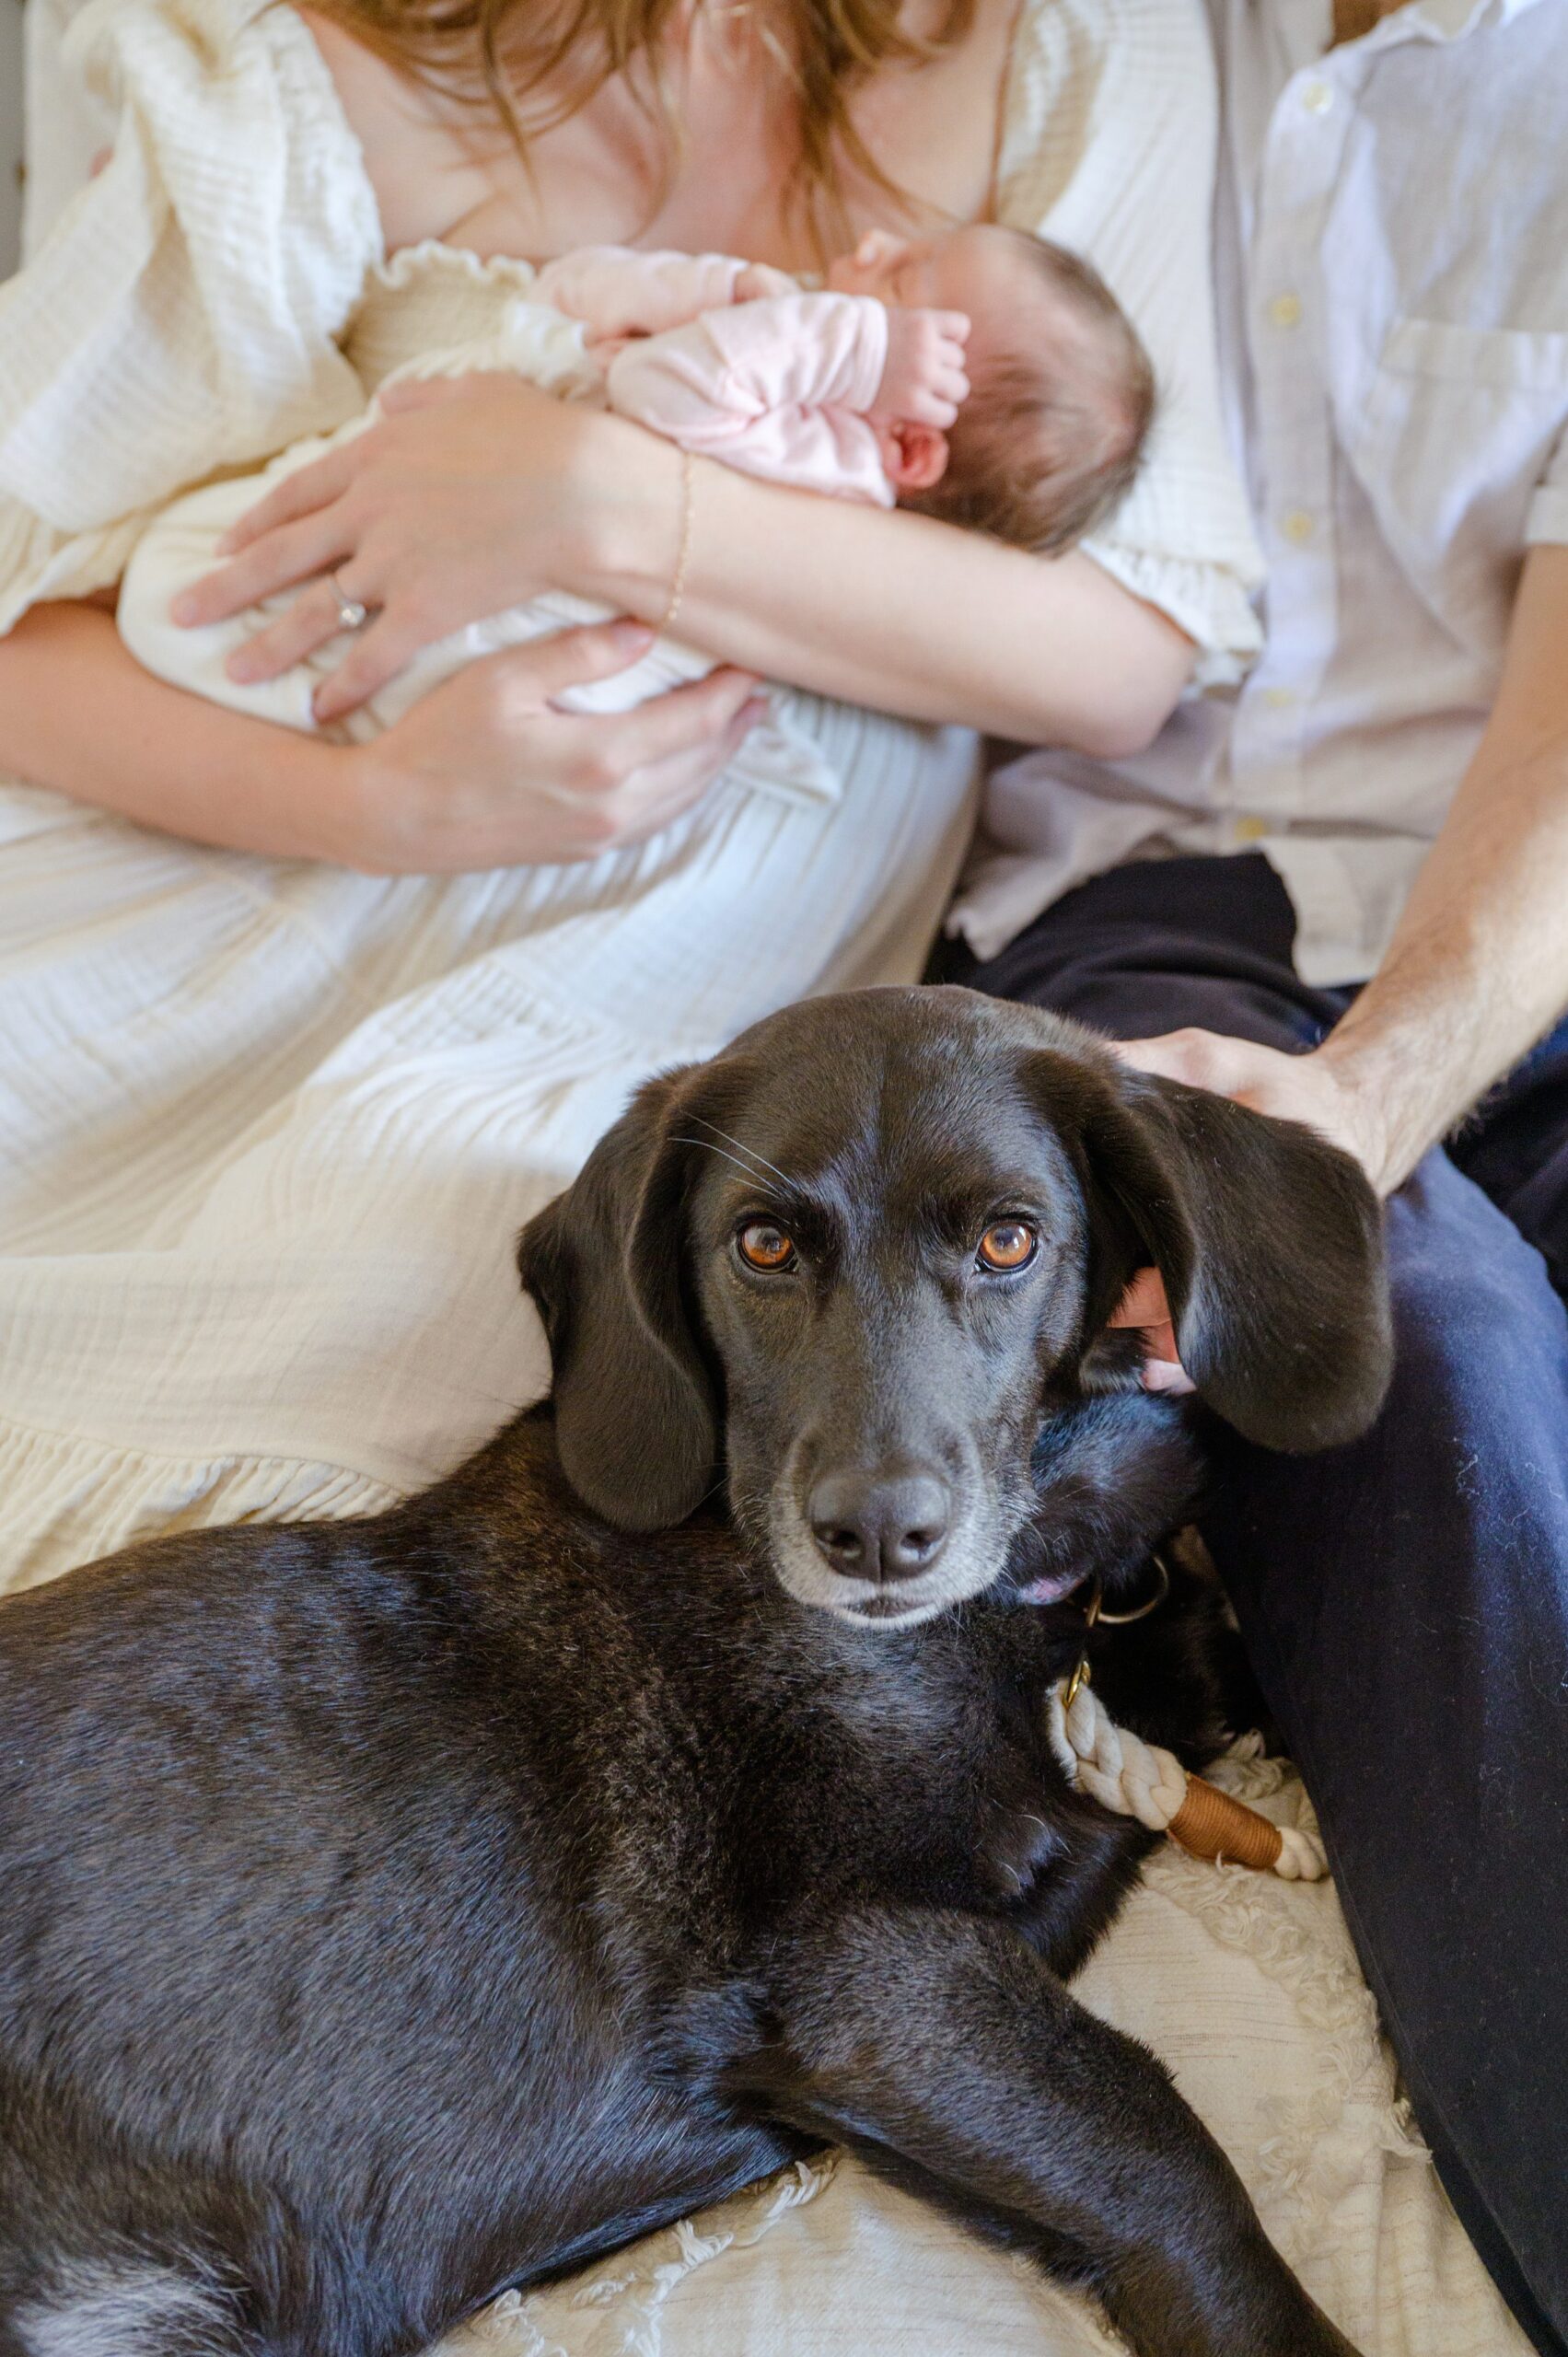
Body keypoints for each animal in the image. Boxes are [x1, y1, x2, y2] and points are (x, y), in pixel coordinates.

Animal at [0, 985, 1386, 2347]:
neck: (1014, 1617)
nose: (875, 1535)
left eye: (1008, 1241)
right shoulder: (867, 1968)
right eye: (761, 1246)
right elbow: (1163, 2147)